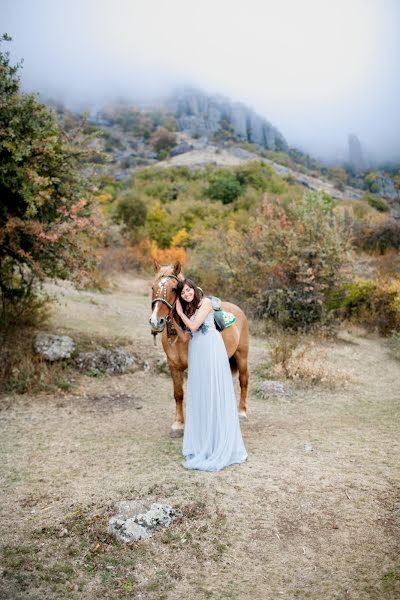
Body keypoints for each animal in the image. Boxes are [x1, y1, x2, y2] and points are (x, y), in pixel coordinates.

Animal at [148, 258, 248, 436]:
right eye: (153, 287)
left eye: (174, 288)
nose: (155, 322)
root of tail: (239, 311)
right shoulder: (173, 366)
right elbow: (178, 394)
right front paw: (178, 424)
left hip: (242, 356)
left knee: (244, 380)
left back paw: (242, 412)